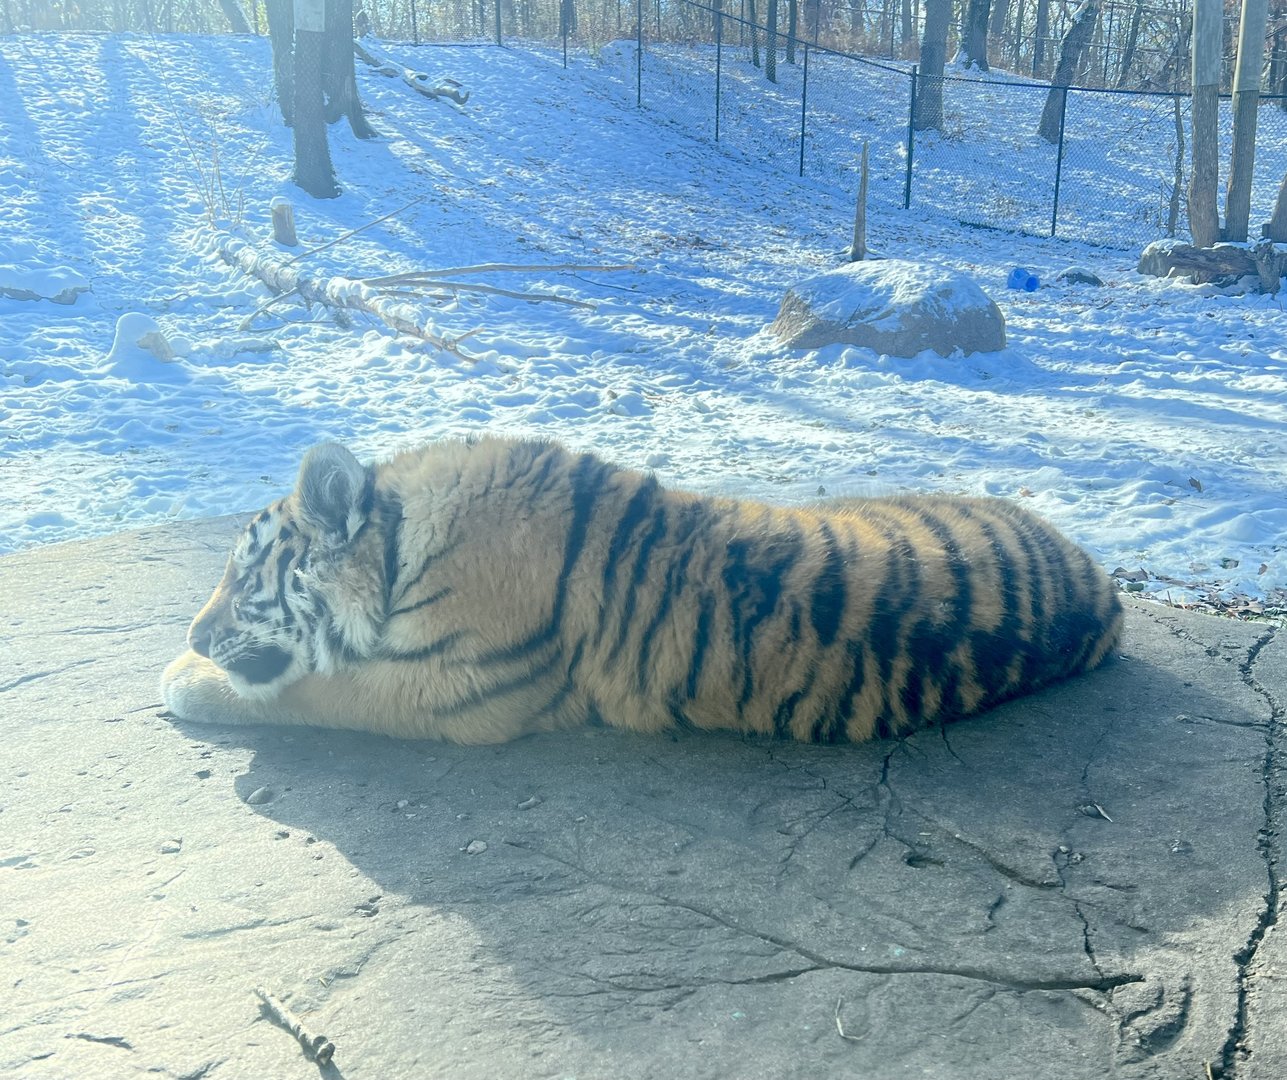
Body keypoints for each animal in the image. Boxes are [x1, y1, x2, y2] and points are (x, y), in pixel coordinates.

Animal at [160, 436, 1123, 745]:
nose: (198, 637)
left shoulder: (444, 690)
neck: (402, 543)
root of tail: (1105, 590)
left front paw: (182, 678)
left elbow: (308, 693)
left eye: (243, 575)